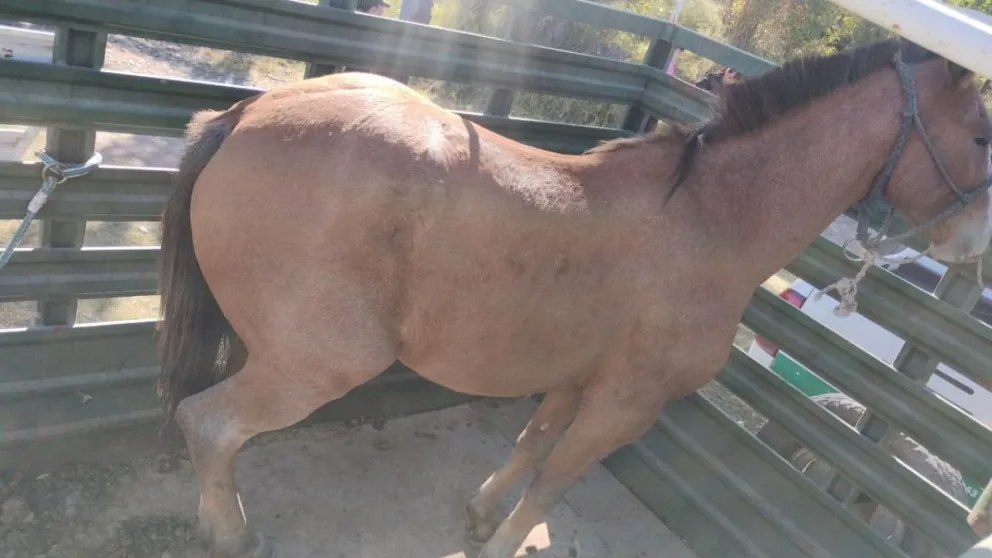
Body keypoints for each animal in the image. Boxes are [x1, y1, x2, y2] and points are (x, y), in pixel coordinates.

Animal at [156, 37, 992, 558]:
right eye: (983, 136)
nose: (976, 242)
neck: (711, 221)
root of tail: (244, 115)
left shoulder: (574, 378)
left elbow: (531, 445)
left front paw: (482, 516)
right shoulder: (627, 403)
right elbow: (557, 479)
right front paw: (500, 540)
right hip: (318, 363)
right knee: (209, 425)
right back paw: (232, 534)